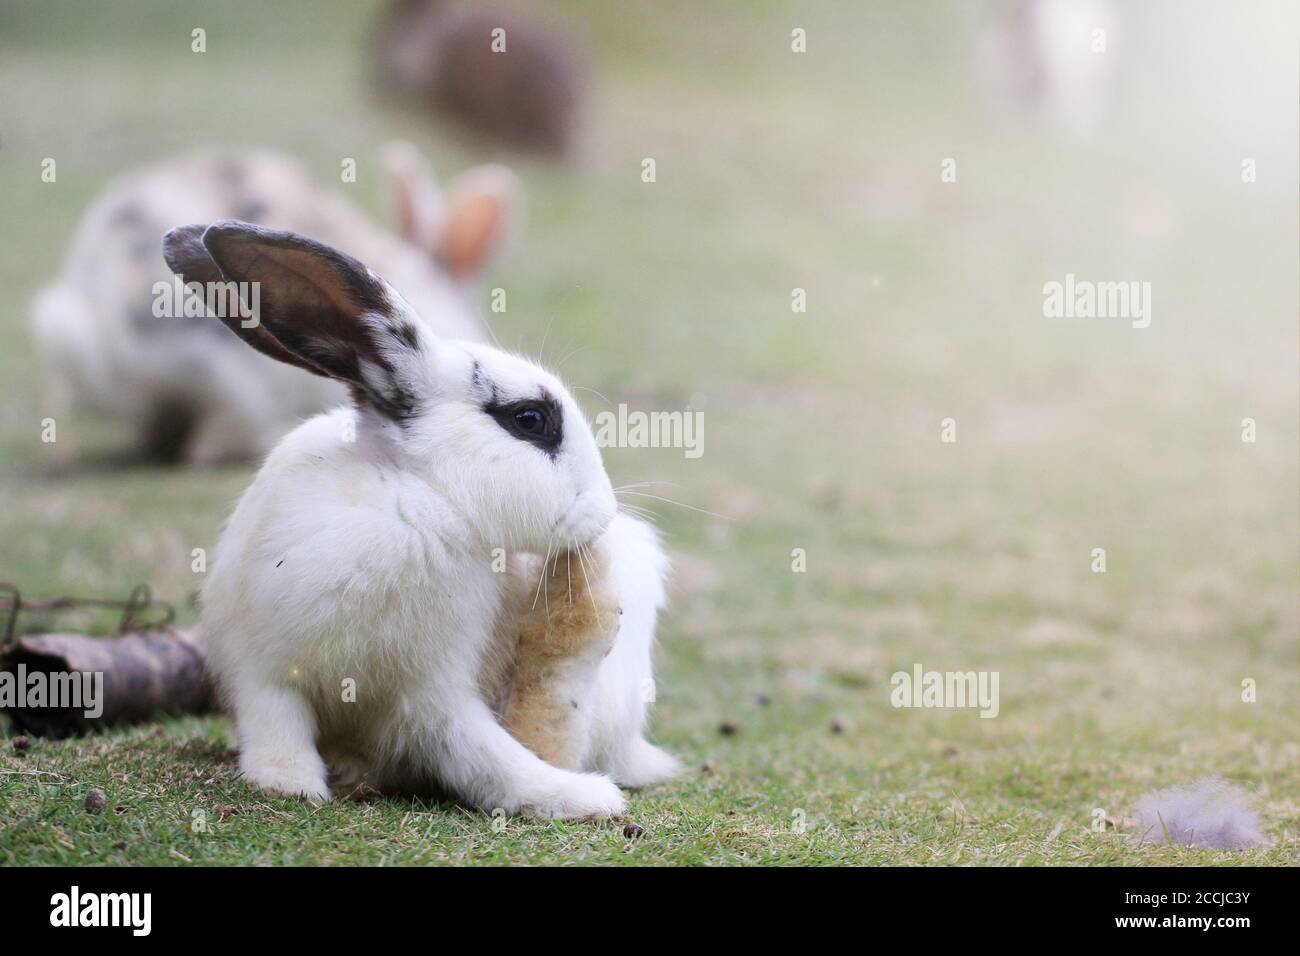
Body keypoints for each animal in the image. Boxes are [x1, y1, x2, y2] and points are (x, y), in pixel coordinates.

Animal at [161, 219, 679, 817]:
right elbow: (278, 727)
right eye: (530, 419)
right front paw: (288, 782)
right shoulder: (265, 672)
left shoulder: (437, 692)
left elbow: (486, 755)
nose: (604, 512)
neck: (419, 498)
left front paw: (575, 795)